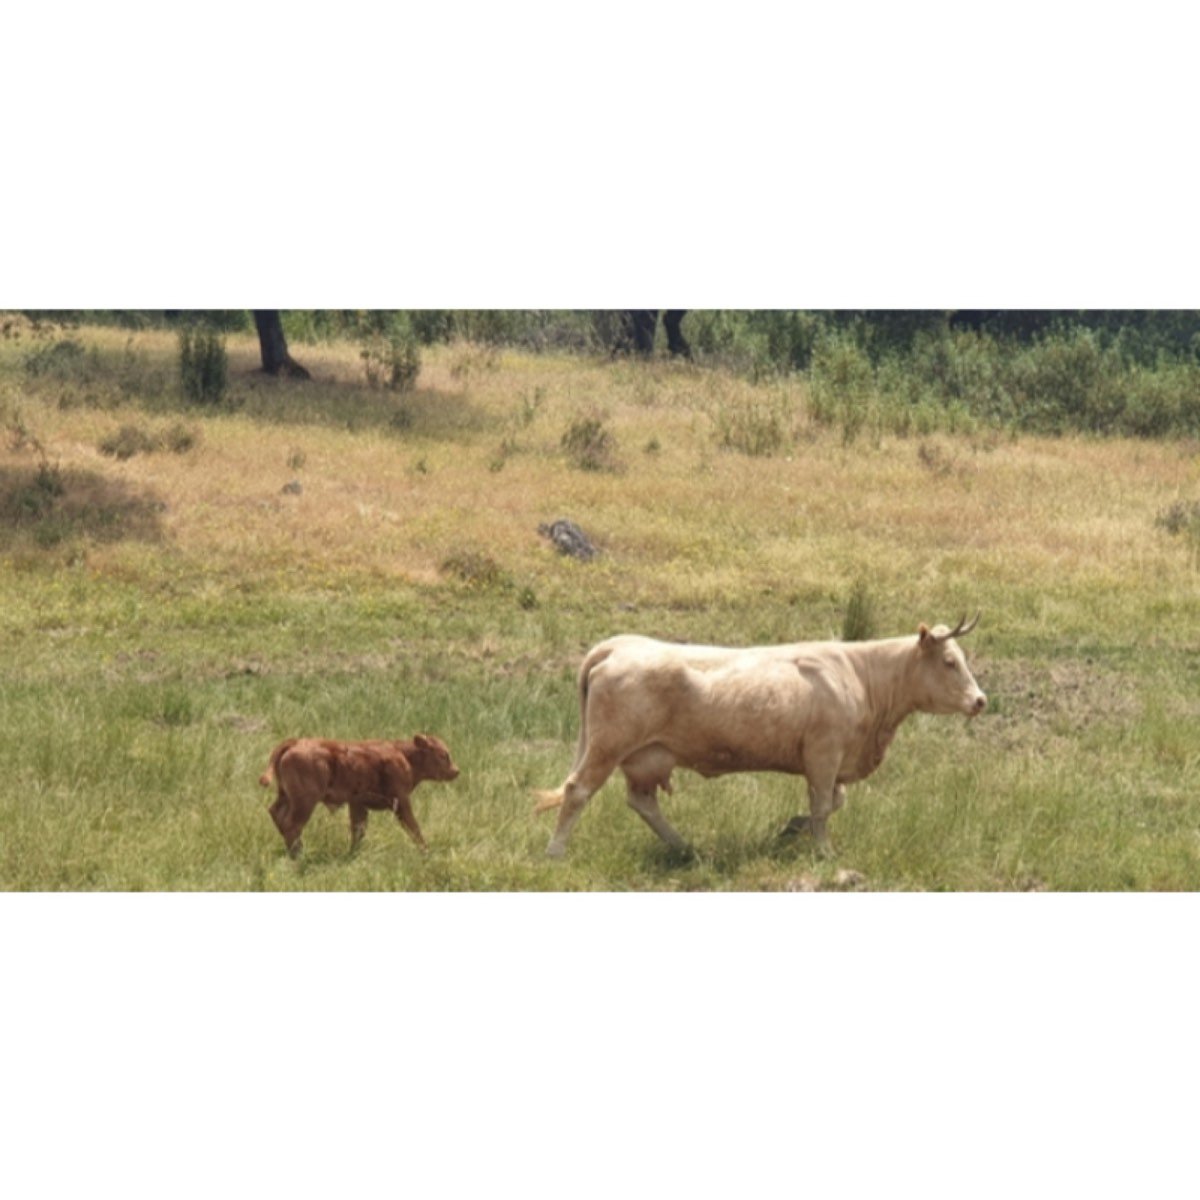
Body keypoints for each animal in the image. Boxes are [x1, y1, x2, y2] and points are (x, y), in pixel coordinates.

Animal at [258, 734, 460, 857]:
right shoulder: (401, 800)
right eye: (444, 755)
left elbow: (358, 830)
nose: (456, 771)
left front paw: (353, 853)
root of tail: (296, 742)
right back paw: (299, 855)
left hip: (286, 797)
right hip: (305, 802)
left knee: (276, 814)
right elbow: (413, 827)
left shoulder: (357, 803)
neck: (404, 755)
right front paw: (426, 852)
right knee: (292, 824)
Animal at [533, 616, 985, 858]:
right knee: (577, 790)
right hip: (607, 747)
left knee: (642, 802)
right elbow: (823, 807)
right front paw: (824, 851)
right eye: (949, 661)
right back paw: (555, 853)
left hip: (646, 757)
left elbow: (833, 802)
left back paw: (684, 847)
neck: (859, 673)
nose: (980, 700)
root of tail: (619, 644)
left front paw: (790, 829)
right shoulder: (824, 754)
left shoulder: (831, 762)